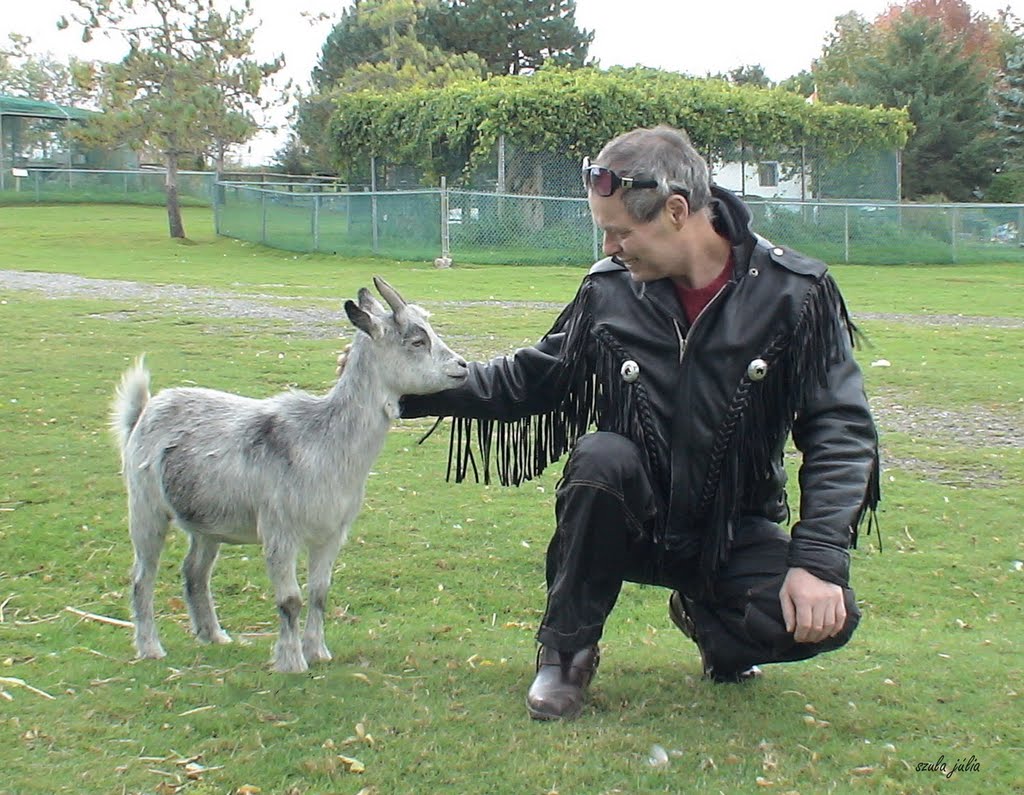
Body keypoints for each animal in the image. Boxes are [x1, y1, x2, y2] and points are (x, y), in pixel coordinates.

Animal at [112, 278, 468, 672]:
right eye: (417, 341)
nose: (463, 366)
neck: (323, 441)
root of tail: (145, 411)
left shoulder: (331, 532)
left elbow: (320, 593)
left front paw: (318, 652)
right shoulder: (279, 531)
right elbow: (290, 599)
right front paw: (292, 661)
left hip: (207, 521)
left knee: (195, 571)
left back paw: (213, 635)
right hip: (146, 507)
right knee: (142, 577)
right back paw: (150, 647)